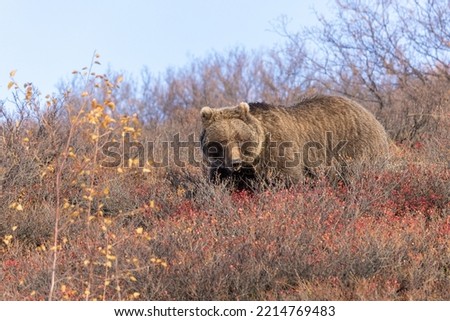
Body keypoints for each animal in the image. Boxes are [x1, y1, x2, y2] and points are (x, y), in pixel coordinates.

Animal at [200, 96, 390, 189]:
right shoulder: (225, 169)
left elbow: (287, 179)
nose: (235, 162)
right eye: (222, 141)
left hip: (355, 149)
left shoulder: (278, 150)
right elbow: (222, 184)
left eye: (240, 139)